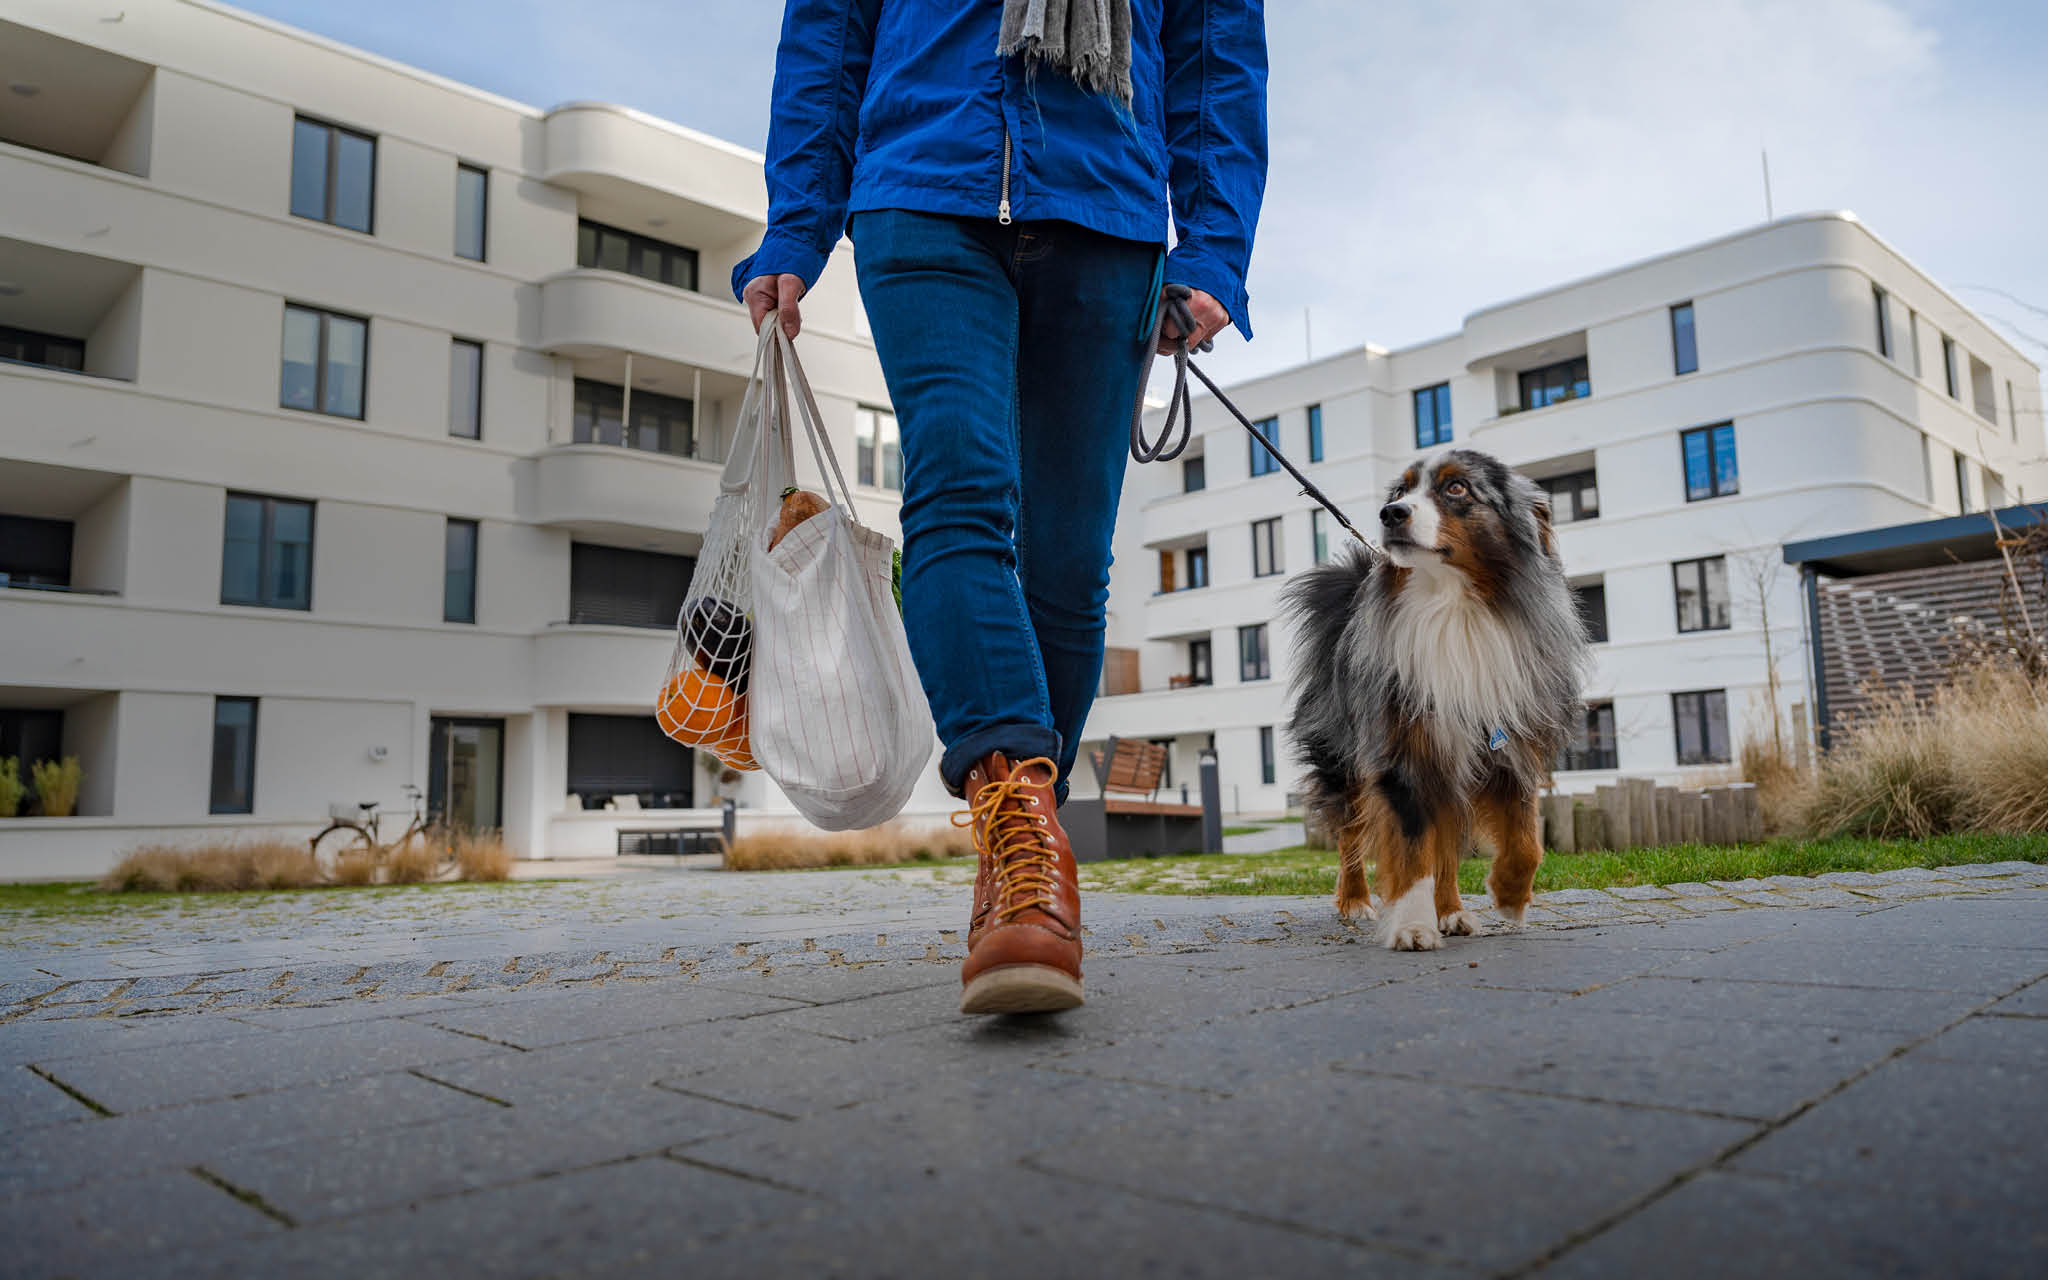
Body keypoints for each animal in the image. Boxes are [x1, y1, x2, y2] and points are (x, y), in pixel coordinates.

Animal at [1286, 448, 1589, 950]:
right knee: (1351, 831)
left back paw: (1450, 910)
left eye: (1456, 488)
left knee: (1445, 843)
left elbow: (1527, 839)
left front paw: (1508, 895)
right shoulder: (1403, 749)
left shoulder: (1511, 745)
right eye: (1400, 490)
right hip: (1344, 756)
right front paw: (1411, 925)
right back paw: (1356, 900)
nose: (1390, 513)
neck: (1453, 604)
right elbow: (1412, 851)